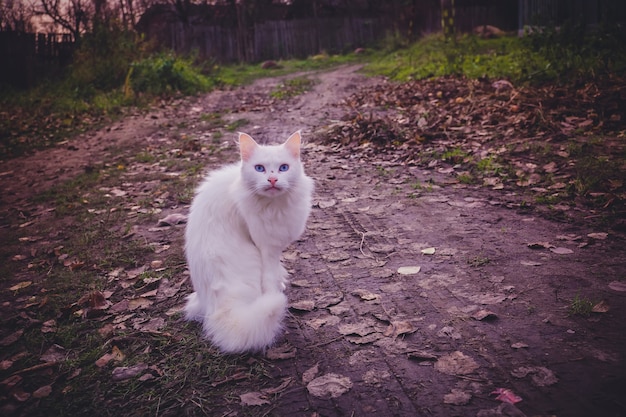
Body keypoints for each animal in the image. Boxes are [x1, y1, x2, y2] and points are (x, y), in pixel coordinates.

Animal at [184, 129, 312, 352]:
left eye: (283, 168)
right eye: (259, 168)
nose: (272, 179)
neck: (274, 206)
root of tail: (215, 308)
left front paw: (282, 278)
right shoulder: (266, 247)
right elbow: (270, 278)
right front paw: (277, 289)